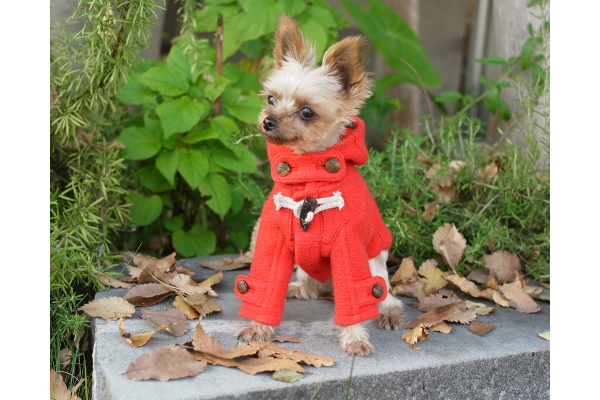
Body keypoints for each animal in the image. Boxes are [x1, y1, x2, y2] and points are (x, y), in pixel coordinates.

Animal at [232, 14, 406, 356]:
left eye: (307, 112)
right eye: (271, 99)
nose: (268, 120)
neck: (308, 174)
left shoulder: (349, 245)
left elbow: (356, 295)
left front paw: (355, 339)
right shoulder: (272, 240)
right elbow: (264, 284)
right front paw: (258, 328)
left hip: (374, 261)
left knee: (380, 291)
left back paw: (388, 311)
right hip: (305, 265)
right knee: (309, 280)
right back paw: (300, 287)